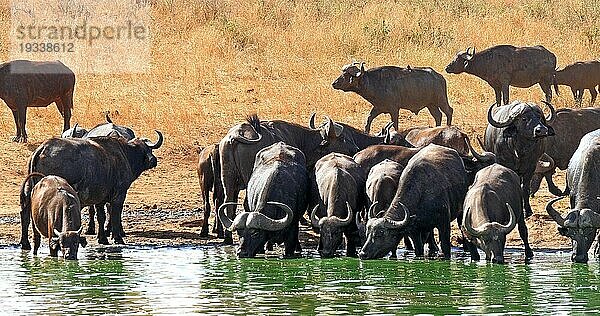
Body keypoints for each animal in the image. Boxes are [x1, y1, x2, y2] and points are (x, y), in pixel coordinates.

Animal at [19, 131, 163, 247]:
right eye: (144, 150)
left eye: (149, 149)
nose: (153, 160)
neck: (123, 154)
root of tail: (43, 148)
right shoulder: (119, 195)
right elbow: (115, 215)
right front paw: (117, 238)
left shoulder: (99, 198)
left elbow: (101, 217)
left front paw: (102, 238)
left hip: (28, 192)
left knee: (25, 215)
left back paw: (25, 242)